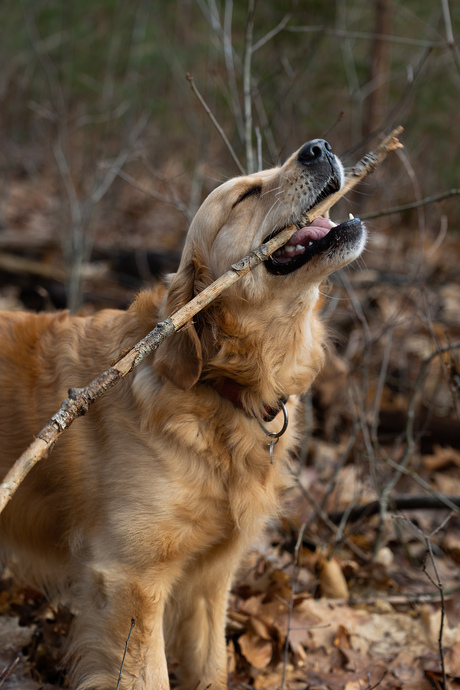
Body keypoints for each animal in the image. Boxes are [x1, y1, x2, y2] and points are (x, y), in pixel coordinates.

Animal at [0, 137, 366, 684]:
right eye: (245, 196)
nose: (318, 147)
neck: (220, 387)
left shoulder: (209, 581)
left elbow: (211, 668)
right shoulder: (131, 578)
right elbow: (149, 676)